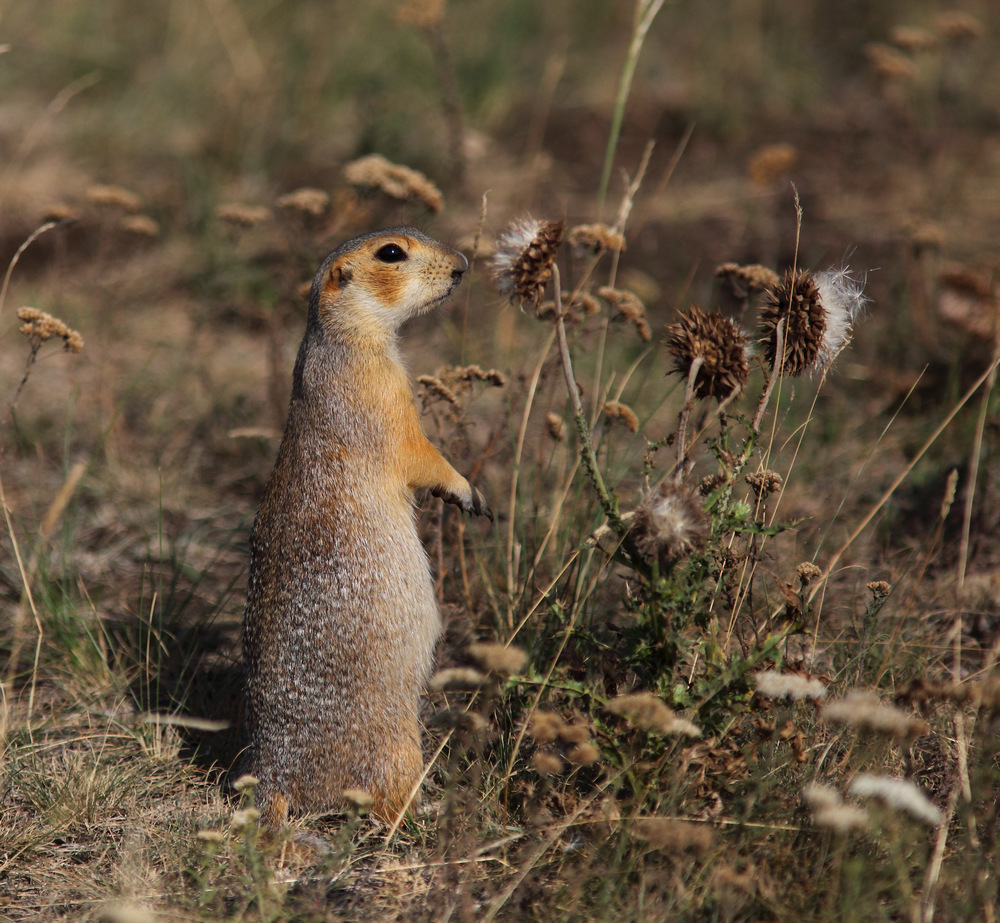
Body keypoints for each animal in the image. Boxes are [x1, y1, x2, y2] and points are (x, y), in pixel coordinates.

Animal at [242, 227, 492, 828]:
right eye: (392, 252)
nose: (462, 264)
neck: (345, 341)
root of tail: (274, 779)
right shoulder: (383, 394)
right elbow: (418, 450)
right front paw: (466, 491)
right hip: (397, 743)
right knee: (387, 801)